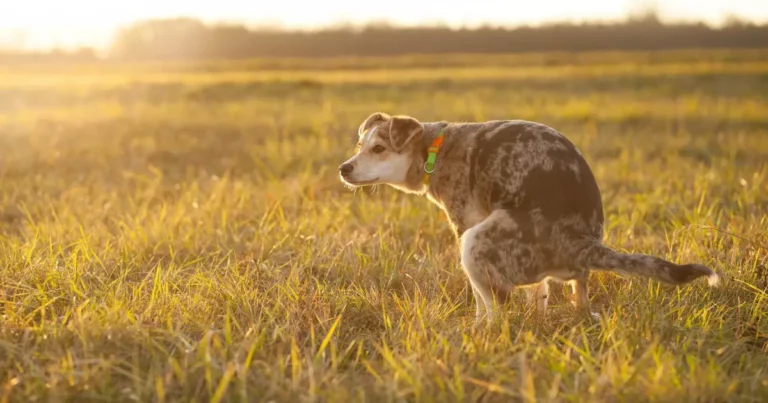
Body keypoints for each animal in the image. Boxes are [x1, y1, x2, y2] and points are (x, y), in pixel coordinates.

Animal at [340, 112, 716, 326]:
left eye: (378, 149)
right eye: (359, 145)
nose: (344, 168)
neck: (435, 148)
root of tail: (583, 244)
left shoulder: (465, 224)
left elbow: (481, 300)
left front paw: (477, 327)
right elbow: (540, 292)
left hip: (475, 242)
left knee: (498, 307)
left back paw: (488, 334)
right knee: (576, 293)